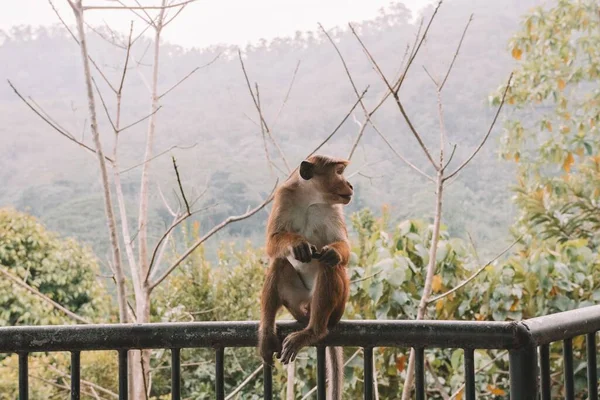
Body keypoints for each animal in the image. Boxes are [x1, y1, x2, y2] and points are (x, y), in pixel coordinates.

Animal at [256, 155, 352, 398]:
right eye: (338, 172)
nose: (349, 184)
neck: (311, 198)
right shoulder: (283, 195)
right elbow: (272, 243)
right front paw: (296, 244)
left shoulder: (335, 209)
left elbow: (343, 248)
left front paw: (334, 252)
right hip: (296, 300)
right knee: (280, 262)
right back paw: (267, 335)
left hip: (336, 307)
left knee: (329, 266)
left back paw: (313, 332)